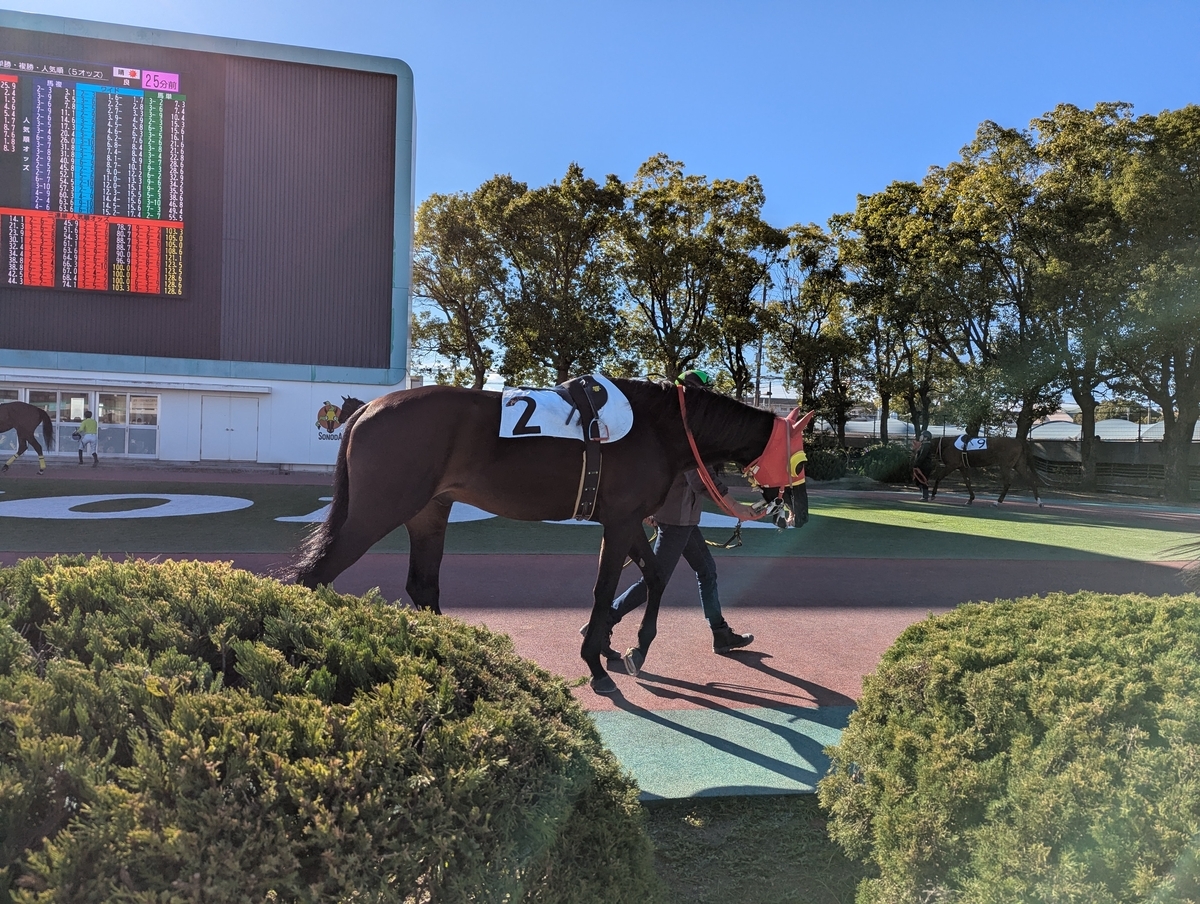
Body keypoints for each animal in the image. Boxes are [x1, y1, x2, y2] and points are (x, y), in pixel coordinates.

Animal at [288, 378, 810, 694]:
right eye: (801, 458)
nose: (800, 514)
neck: (661, 428)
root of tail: (367, 409)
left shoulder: (629, 521)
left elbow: (654, 577)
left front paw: (631, 648)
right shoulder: (621, 521)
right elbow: (606, 587)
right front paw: (596, 663)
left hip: (429, 512)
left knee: (422, 585)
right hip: (378, 511)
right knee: (313, 576)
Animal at [913, 434, 1043, 507]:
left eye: (920, 447)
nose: (916, 456)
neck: (947, 444)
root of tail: (1018, 441)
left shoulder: (952, 465)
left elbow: (939, 477)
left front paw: (933, 494)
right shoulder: (962, 467)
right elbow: (967, 482)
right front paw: (970, 499)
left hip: (1005, 466)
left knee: (1007, 482)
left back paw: (997, 502)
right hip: (1018, 465)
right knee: (1031, 480)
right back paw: (1039, 502)